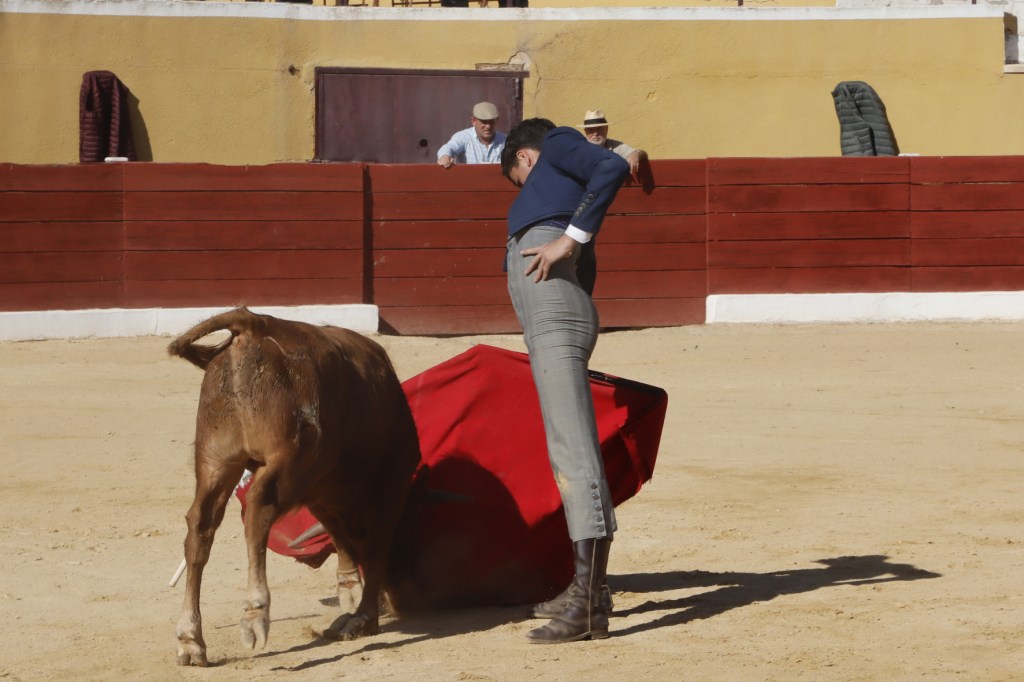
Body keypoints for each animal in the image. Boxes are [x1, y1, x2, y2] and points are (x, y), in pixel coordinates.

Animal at [167, 308, 421, 667]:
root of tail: (252, 324)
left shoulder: (318, 490)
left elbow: (339, 534)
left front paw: (349, 591)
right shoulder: (391, 482)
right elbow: (374, 546)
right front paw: (363, 615)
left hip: (216, 460)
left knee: (200, 527)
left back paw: (191, 639)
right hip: (292, 457)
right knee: (259, 506)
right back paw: (255, 614)